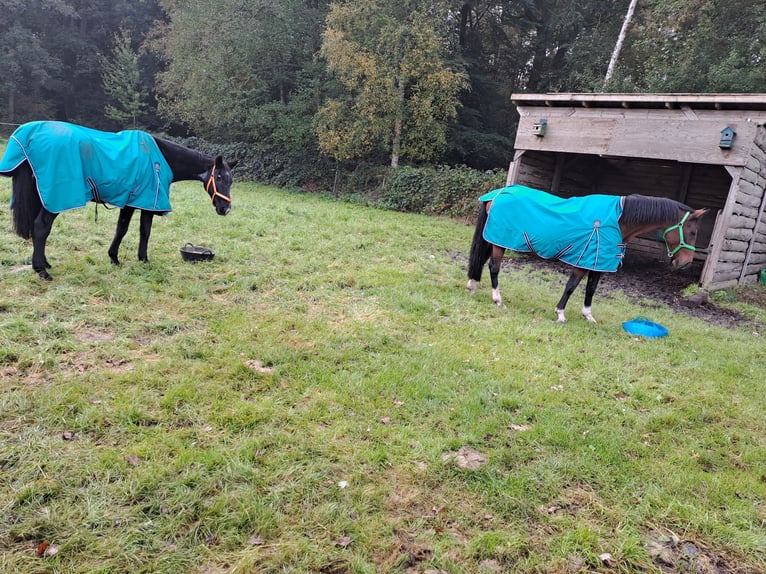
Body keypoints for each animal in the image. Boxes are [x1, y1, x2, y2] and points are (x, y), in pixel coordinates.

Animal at [0, 121, 237, 282]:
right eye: (218, 177)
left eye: (231, 180)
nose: (225, 209)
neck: (161, 158)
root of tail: (28, 137)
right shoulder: (146, 202)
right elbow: (143, 231)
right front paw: (143, 259)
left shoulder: (131, 202)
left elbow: (121, 229)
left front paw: (114, 258)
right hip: (56, 199)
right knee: (41, 228)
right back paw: (41, 270)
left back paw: (44, 263)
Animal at [464, 189, 712, 324]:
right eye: (692, 232)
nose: (685, 263)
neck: (619, 220)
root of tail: (497, 193)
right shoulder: (582, 261)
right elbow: (571, 287)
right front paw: (560, 314)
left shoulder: (598, 265)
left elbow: (591, 290)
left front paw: (588, 316)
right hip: (499, 242)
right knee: (494, 267)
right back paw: (498, 300)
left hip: (493, 241)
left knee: (482, 262)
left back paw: (473, 286)